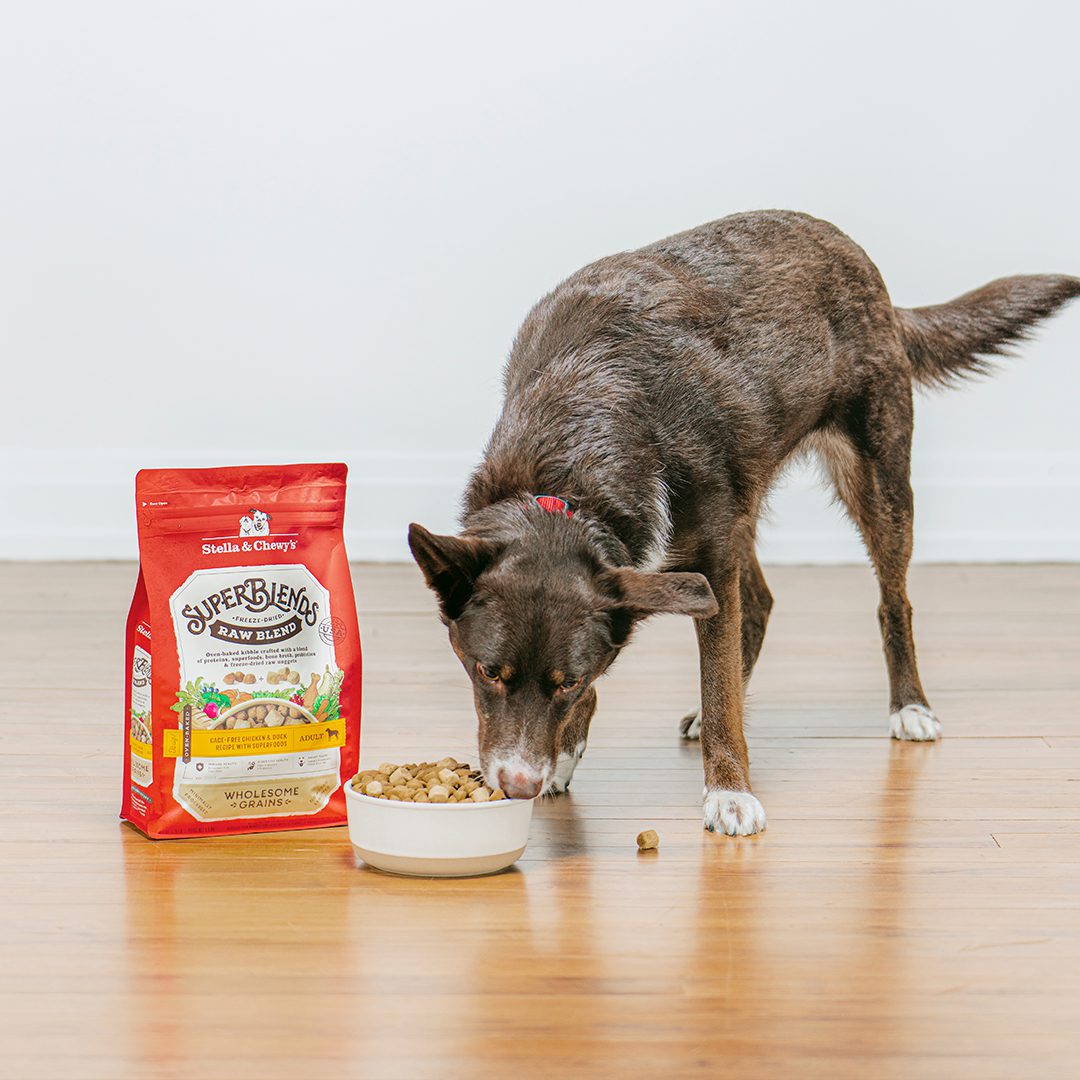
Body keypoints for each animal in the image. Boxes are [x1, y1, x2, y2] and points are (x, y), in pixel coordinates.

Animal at [406, 210, 1080, 833]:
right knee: (758, 602)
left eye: (564, 682)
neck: (575, 461)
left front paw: (729, 792)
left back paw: (910, 707)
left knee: (894, 601)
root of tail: (853, 255)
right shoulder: (669, 567)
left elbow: (719, 686)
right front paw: (568, 756)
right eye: (486, 671)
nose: (516, 784)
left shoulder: (704, 562)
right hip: (741, 510)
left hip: (876, 483)